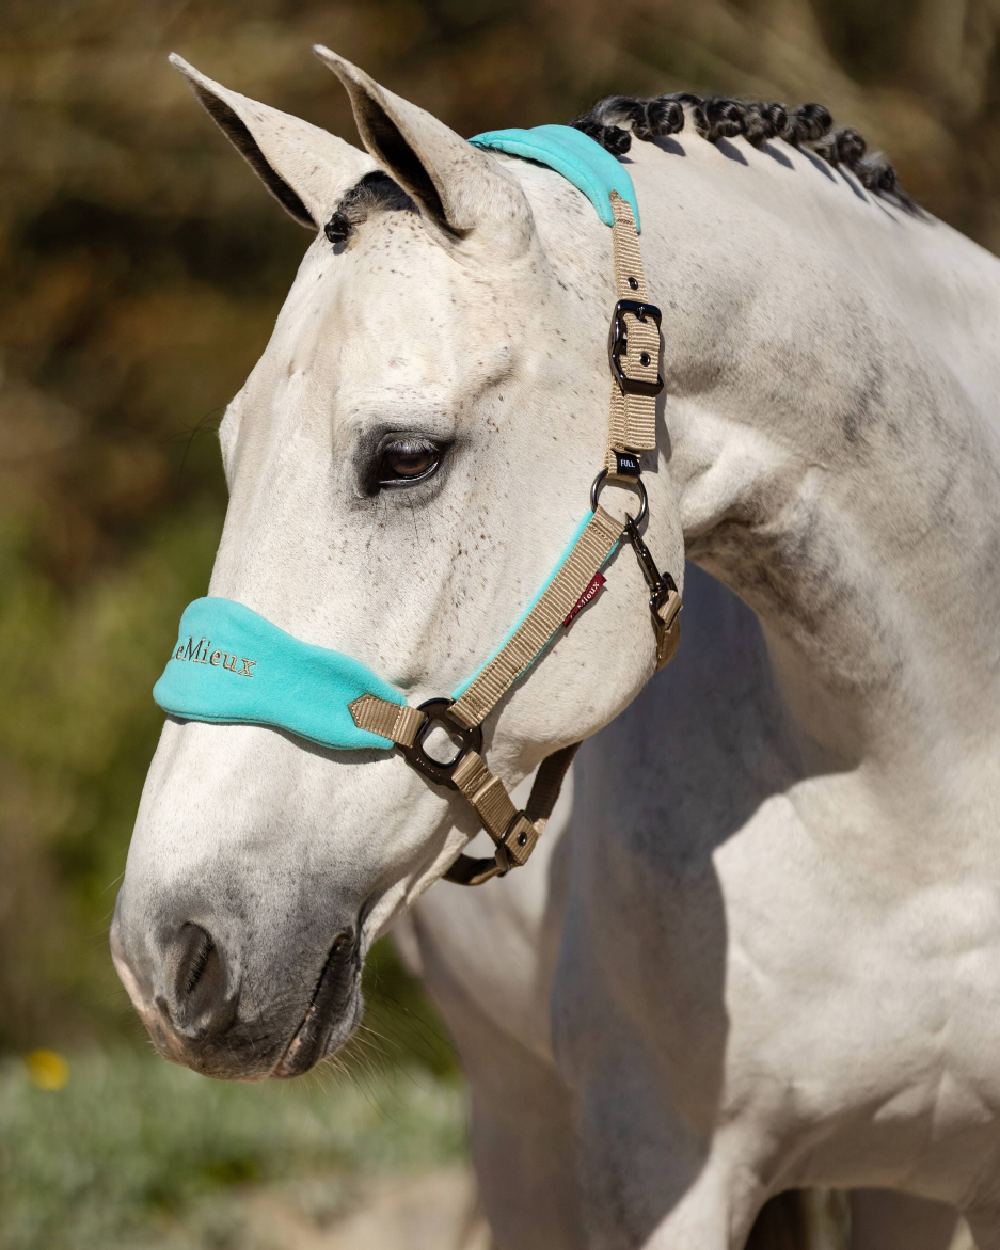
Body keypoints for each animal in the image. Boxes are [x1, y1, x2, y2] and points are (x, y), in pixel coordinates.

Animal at [113, 48, 1000, 1250]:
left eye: (405, 455)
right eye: (230, 446)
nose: (169, 952)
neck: (925, 794)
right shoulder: (657, 1165)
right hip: (516, 1114)